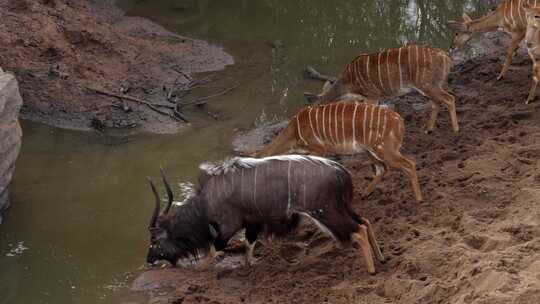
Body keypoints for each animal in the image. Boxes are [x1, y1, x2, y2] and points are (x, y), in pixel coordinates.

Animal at [146, 158, 386, 274]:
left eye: (155, 241)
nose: (149, 260)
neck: (207, 200)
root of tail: (341, 172)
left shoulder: (229, 226)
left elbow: (215, 249)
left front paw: (198, 269)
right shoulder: (253, 223)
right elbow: (249, 245)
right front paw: (247, 267)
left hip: (325, 213)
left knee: (358, 230)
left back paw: (372, 271)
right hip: (341, 208)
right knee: (365, 221)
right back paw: (382, 259)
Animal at [255, 101, 424, 203]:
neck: (295, 132)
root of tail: (400, 122)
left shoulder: (319, 149)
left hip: (385, 149)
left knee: (409, 164)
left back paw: (419, 199)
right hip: (370, 150)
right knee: (383, 168)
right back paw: (364, 193)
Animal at [302, 45, 458, 134]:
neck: (349, 83)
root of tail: (447, 59)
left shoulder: (372, 95)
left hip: (427, 84)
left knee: (449, 98)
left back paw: (456, 130)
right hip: (430, 86)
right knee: (437, 102)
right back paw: (428, 129)